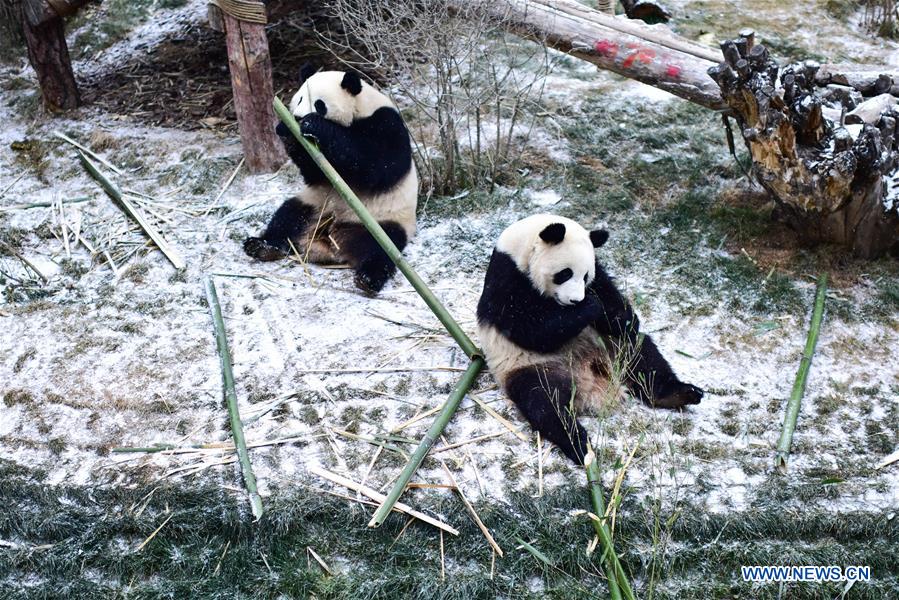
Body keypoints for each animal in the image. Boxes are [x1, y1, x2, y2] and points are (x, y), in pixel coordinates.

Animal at [244, 65, 418, 294]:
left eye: (319, 104)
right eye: (300, 98)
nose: (297, 117)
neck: (359, 109)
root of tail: (329, 243)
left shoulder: (386, 124)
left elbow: (376, 167)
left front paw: (314, 125)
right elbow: (314, 172)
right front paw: (286, 129)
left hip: (382, 221)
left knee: (382, 248)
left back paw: (368, 278)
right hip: (314, 206)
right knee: (288, 217)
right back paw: (262, 247)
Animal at [476, 214, 703, 464]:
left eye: (585, 276)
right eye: (564, 273)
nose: (576, 300)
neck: (521, 246)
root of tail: (590, 383)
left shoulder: (598, 271)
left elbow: (611, 297)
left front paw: (622, 318)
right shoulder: (507, 278)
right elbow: (529, 328)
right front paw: (590, 306)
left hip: (613, 347)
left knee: (644, 357)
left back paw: (680, 393)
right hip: (532, 368)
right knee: (545, 405)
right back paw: (579, 445)